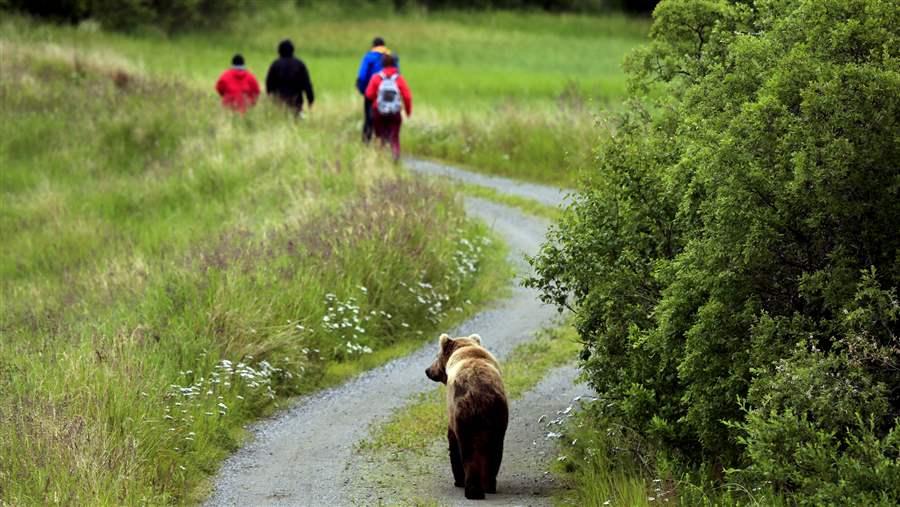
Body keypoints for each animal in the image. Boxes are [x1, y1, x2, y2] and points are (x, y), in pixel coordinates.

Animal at [428, 334, 510, 500]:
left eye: (436, 356)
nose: (427, 370)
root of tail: (478, 396)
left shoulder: (451, 412)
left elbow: (452, 442)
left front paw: (457, 480)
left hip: (463, 414)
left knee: (467, 452)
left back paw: (472, 489)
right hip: (497, 416)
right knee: (495, 450)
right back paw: (488, 485)